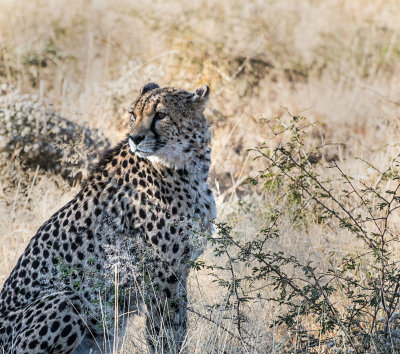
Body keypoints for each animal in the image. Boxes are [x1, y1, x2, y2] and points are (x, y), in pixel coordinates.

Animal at [0, 83, 216, 354]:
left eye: (161, 115)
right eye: (134, 114)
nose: (135, 138)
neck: (184, 165)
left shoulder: (179, 271)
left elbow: (177, 325)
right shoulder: (161, 274)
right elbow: (164, 331)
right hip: (66, 301)